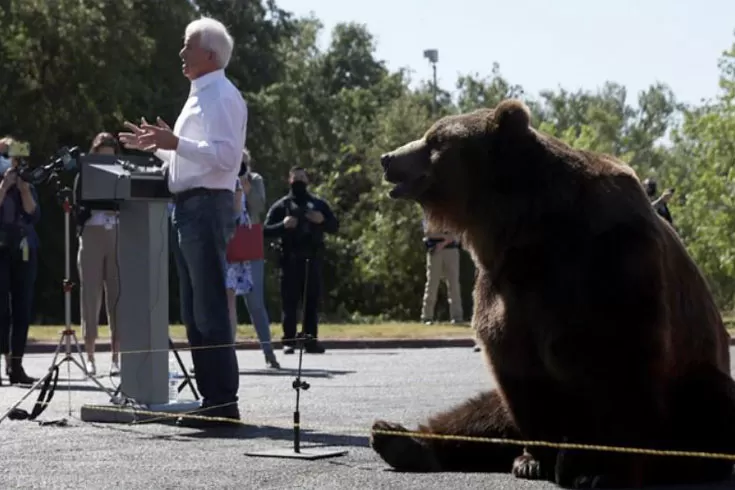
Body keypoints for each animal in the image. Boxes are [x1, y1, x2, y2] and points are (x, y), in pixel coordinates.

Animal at [370, 97, 735, 488]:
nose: (388, 158)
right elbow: (518, 372)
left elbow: (622, 368)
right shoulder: (504, 287)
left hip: (695, 386)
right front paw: (533, 460)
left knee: (707, 405)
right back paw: (397, 437)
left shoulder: (610, 265)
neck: (524, 230)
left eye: (435, 140)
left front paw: (600, 470)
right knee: (482, 411)